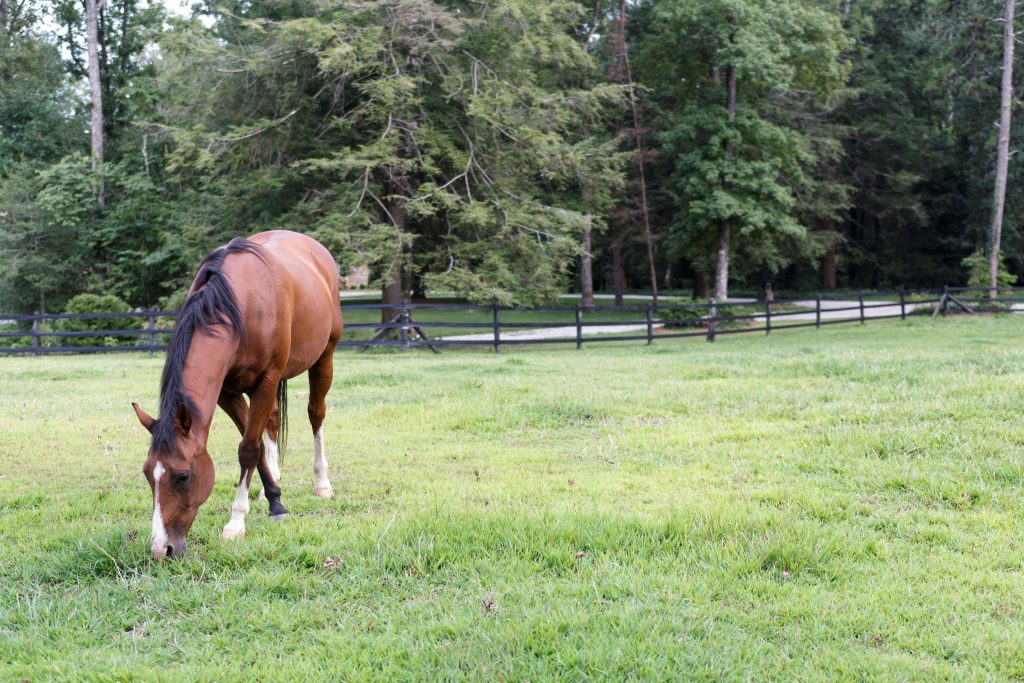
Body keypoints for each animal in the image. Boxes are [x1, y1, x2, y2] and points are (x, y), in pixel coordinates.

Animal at [132, 229, 344, 561]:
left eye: (183, 476)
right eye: (147, 474)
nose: (160, 550)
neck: (237, 305)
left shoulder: (266, 381)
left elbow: (247, 449)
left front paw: (236, 522)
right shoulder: (227, 391)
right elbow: (254, 445)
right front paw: (274, 500)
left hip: (324, 358)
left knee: (316, 414)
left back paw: (322, 483)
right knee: (272, 422)